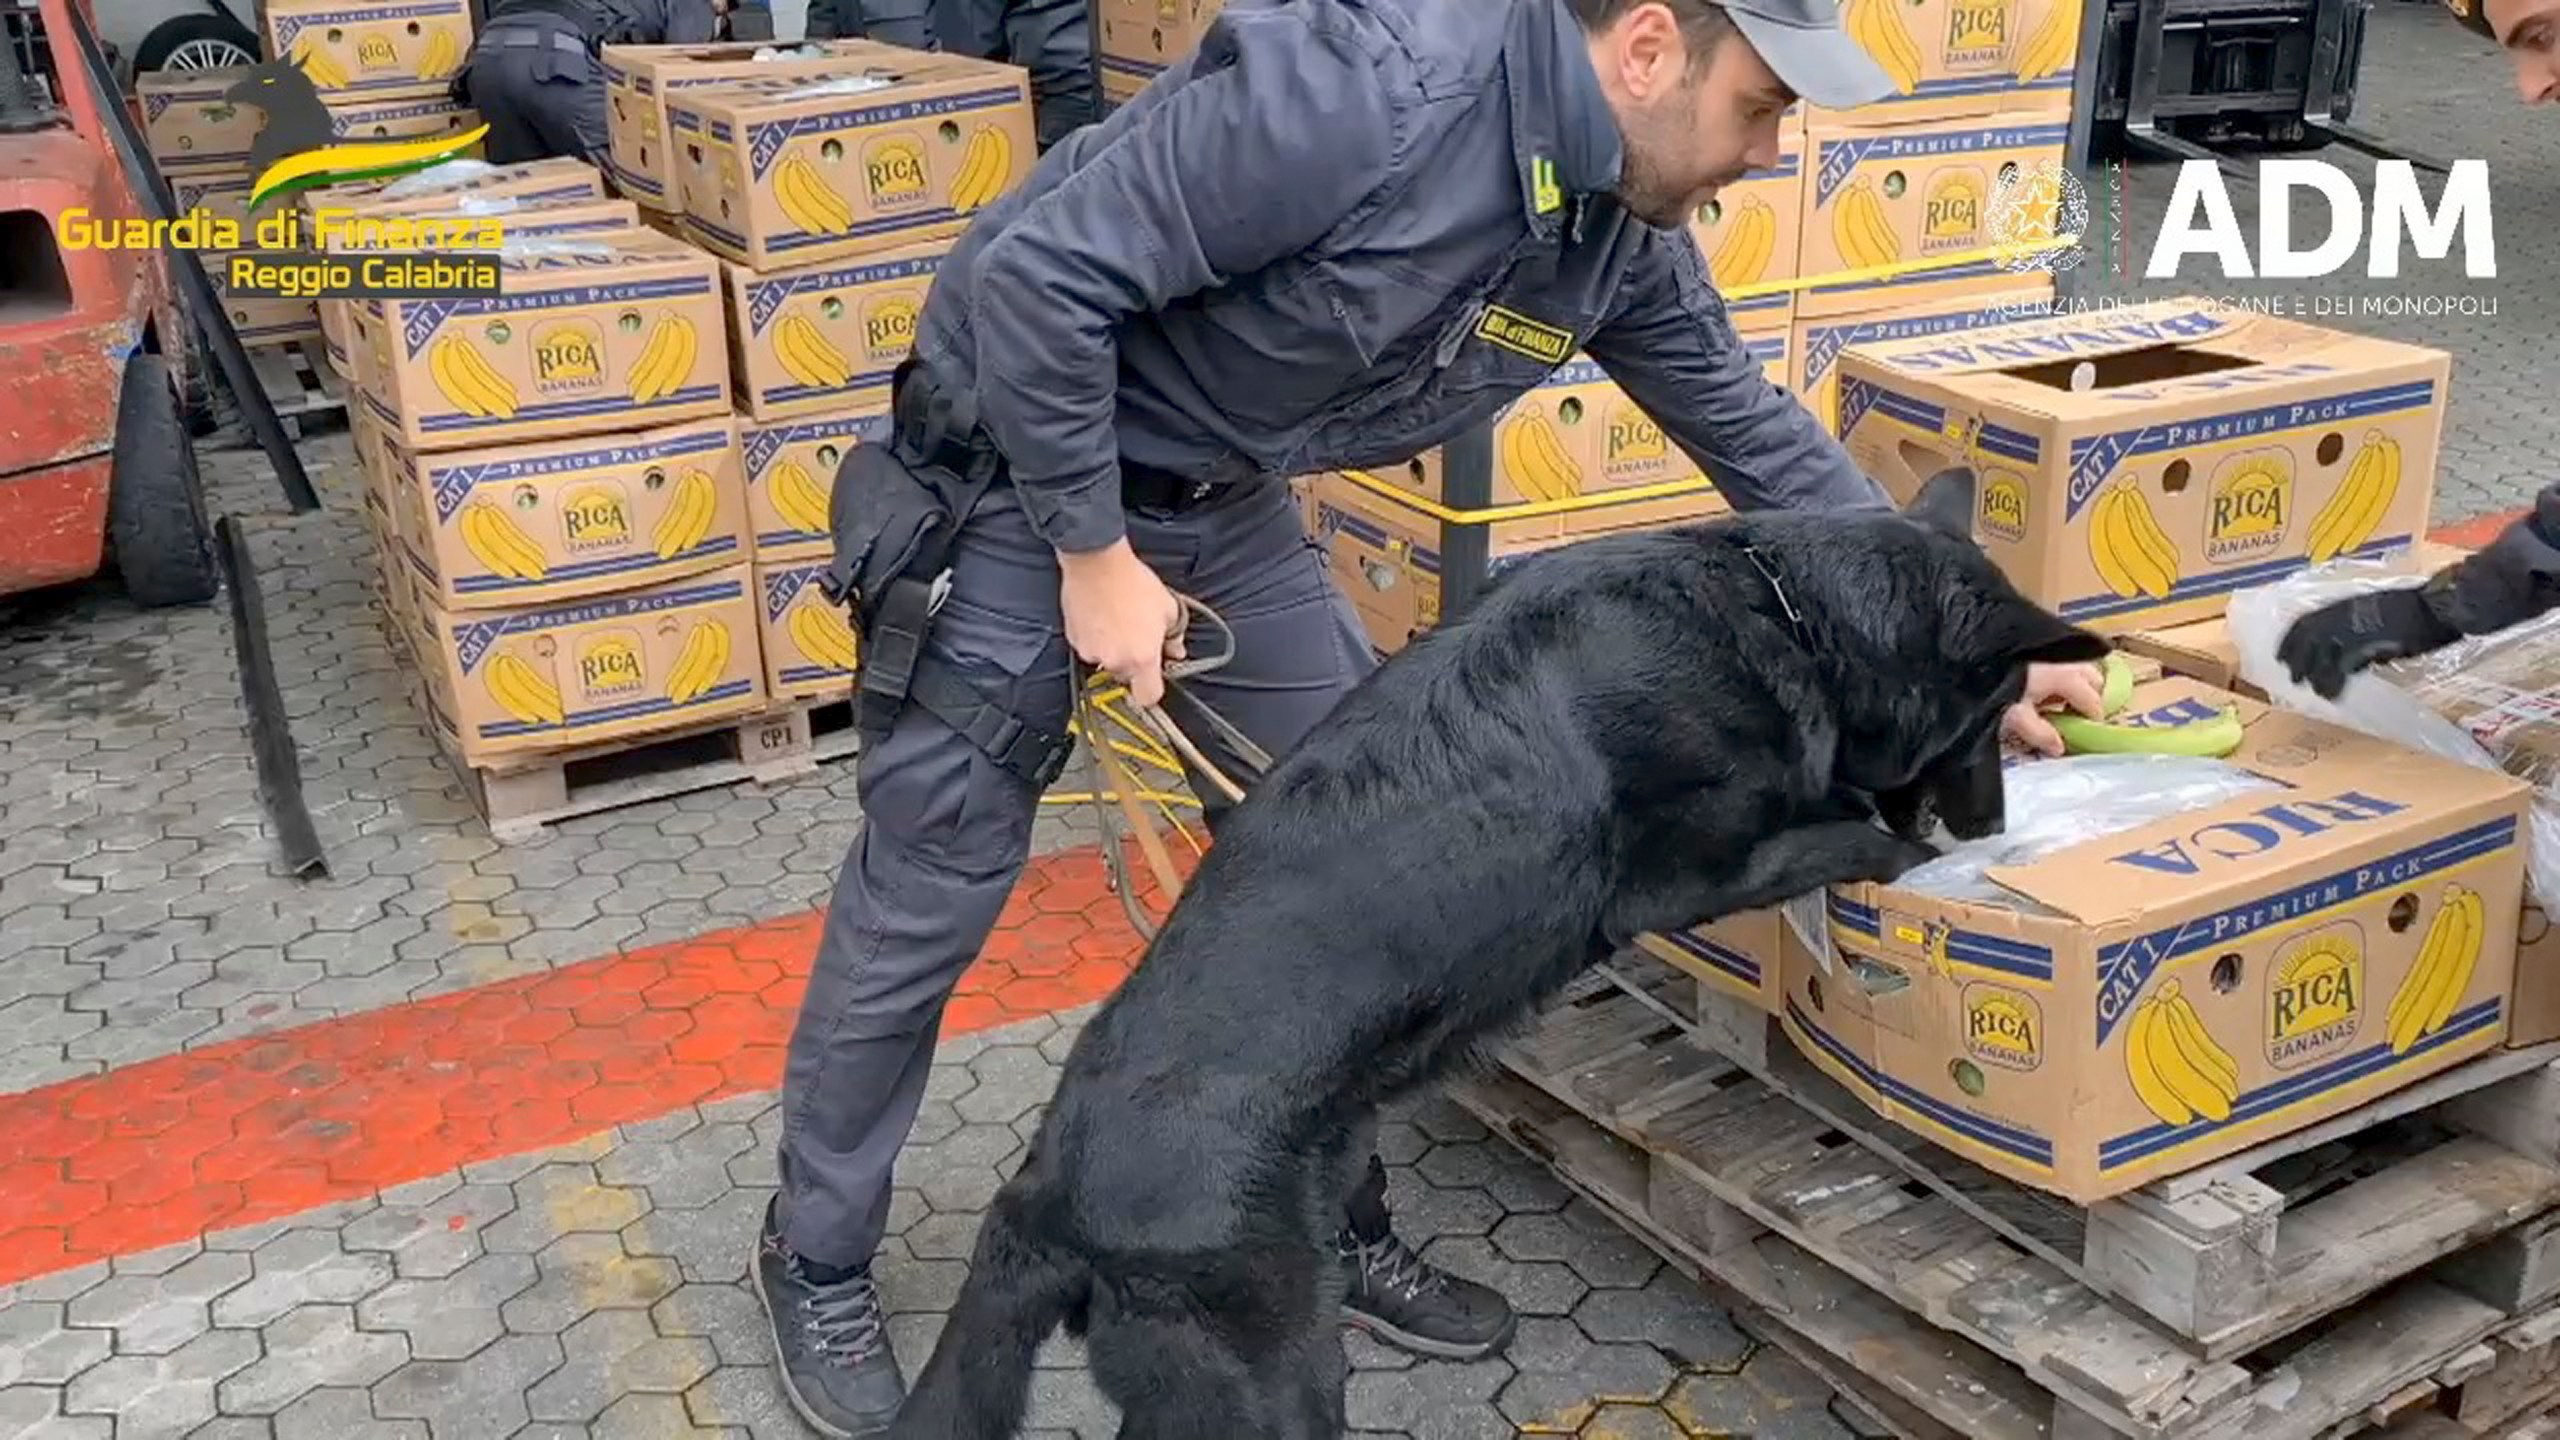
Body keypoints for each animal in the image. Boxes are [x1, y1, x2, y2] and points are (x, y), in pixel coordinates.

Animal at [880, 466, 2099, 1424]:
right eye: (1984, 719)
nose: (1993, 823)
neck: (1787, 610)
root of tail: (1045, 1195)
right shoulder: (1690, 875)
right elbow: (1857, 832)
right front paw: (1915, 856)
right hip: (1274, 1375)